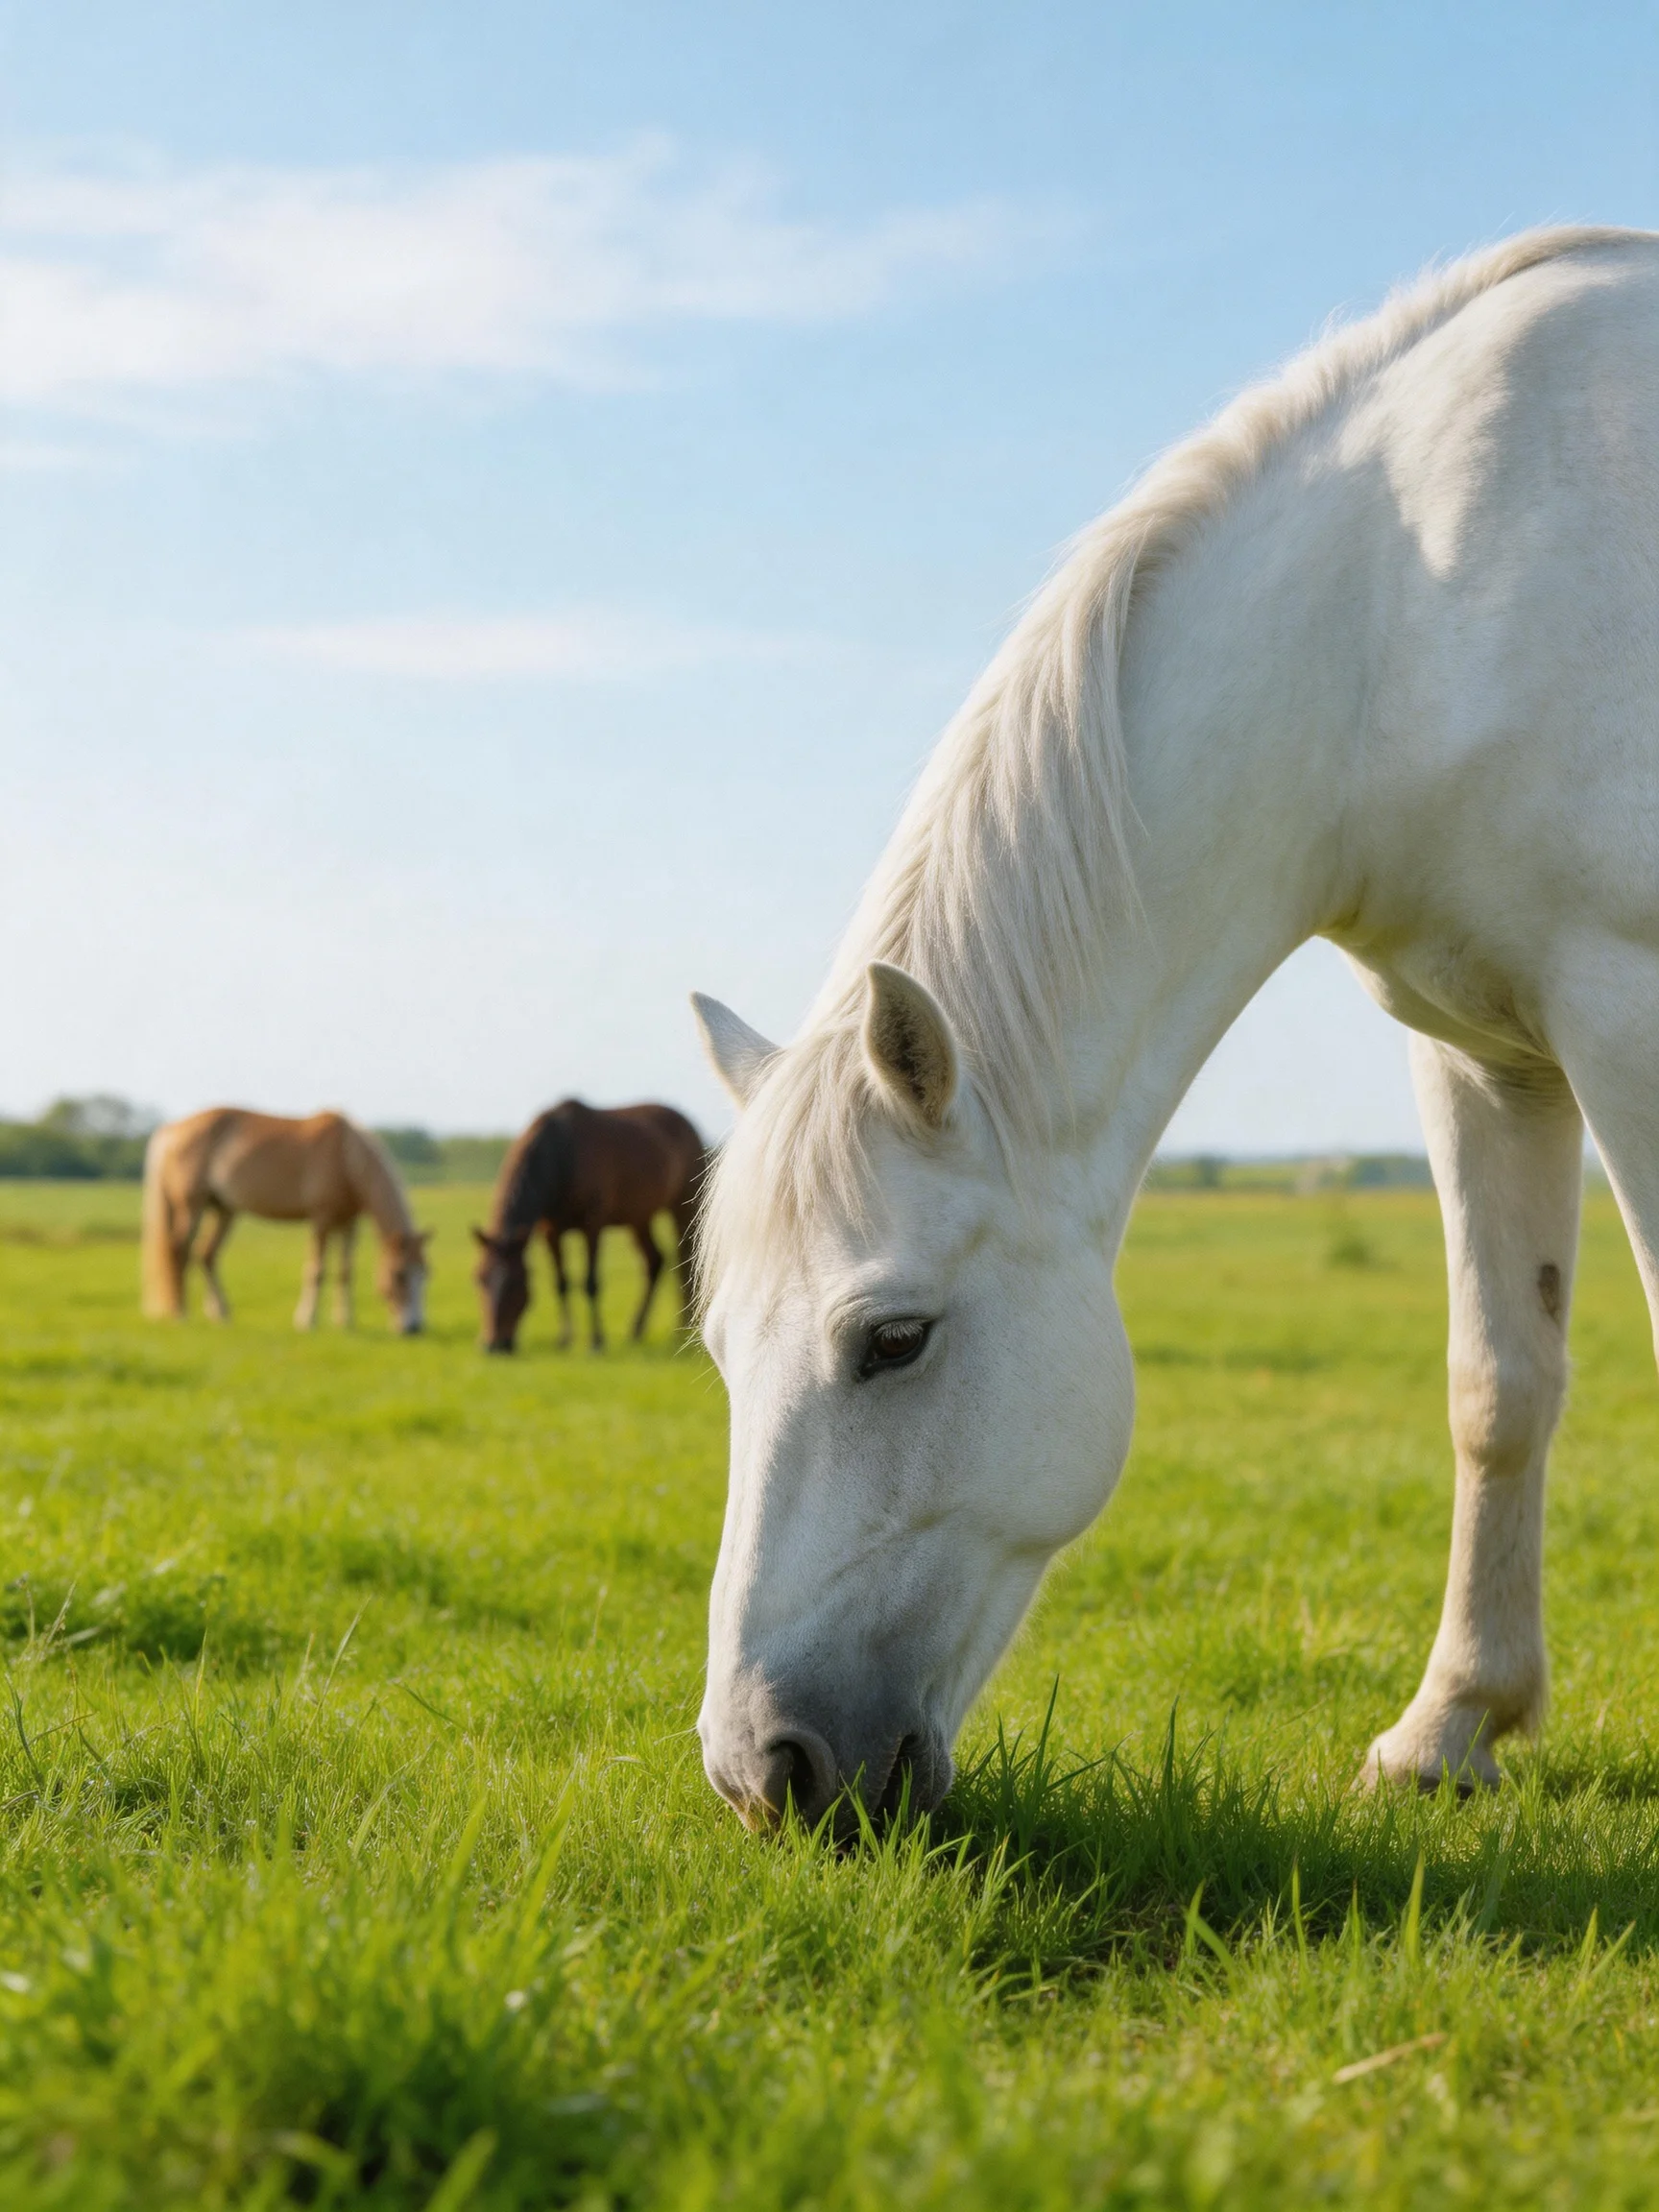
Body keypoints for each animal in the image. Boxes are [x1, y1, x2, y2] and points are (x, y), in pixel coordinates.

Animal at [142, 1108, 432, 1333]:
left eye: (426, 1273)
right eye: (399, 1275)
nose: (414, 1328)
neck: (346, 1157)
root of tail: (172, 1130)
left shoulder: (349, 1224)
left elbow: (345, 1273)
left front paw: (345, 1322)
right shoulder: (321, 1219)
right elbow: (317, 1271)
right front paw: (307, 1321)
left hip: (224, 1208)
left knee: (206, 1254)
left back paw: (221, 1313)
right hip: (192, 1205)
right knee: (179, 1250)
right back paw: (180, 1312)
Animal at [472, 1099, 706, 1353]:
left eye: (515, 1284)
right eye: (479, 1279)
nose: (494, 1346)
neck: (563, 1155)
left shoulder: (593, 1224)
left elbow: (590, 1282)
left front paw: (596, 1341)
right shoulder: (550, 1231)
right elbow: (561, 1283)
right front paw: (564, 1339)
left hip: (683, 1208)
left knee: (685, 1264)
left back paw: (682, 1332)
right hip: (639, 1218)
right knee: (654, 1261)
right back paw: (636, 1330)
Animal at [690, 225, 1659, 1832]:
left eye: (893, 1340)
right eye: (716, 1347)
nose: (768, 1769)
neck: (1414, 607)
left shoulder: (1625, 1011)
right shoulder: (1487, 1057)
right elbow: (1499, 1385)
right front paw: (1450, 1727)